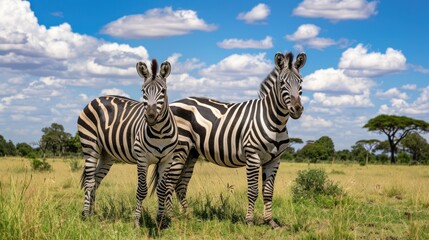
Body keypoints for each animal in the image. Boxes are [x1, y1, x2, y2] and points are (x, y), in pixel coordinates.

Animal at [77, 58, 177, 227]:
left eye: (163, 91)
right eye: (143, 91)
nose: (150, 116)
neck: (160, 133)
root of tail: (96, 99)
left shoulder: (167, 160)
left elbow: (161, 190)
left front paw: (161, 221)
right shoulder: (142, 158)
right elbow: (142, 190)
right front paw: (136, 222)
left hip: (107, 155)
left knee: (96, 181)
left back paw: (92, 213)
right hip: (90, 146)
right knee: (89, 182)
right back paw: (85, 215)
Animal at [160, 51, 304, 228]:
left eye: (300, 81)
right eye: (282, 82)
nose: (297, 109)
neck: (274, 121)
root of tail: (174, 103)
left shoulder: (275, 159)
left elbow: (268, 192)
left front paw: (271, 222)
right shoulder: (252, 155)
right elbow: (253, 191)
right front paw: (249, 221)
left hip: (191, 152)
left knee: (180, 185)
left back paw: (187, 216)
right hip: (180, 148)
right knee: (169, 183)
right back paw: (171, 217)